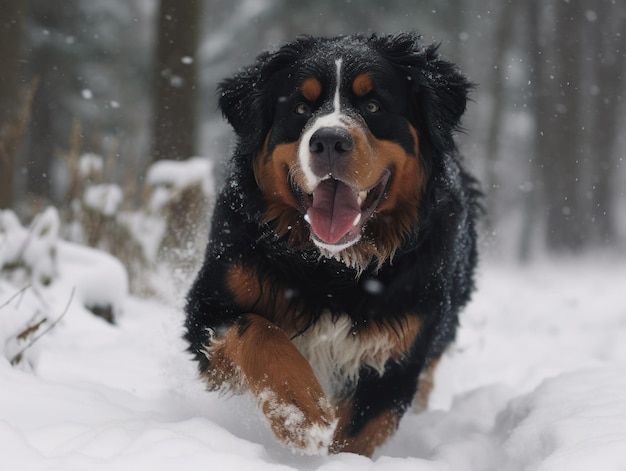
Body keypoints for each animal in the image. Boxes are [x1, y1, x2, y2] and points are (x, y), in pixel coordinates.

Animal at [183, 32, 480, 458]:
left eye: (373, 105)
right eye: (300, 107)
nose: (328, 140)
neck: (334, 269)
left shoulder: (399, 353)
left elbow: (359, 435)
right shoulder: (210, 301)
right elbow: (257, 330)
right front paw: (302, 412)